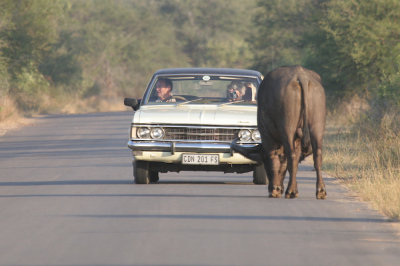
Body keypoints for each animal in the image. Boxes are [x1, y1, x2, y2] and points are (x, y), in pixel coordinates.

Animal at [233, 65, 326, 200]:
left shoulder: (267, 137)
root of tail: (301, 76)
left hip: (288, 128)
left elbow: (275, 159)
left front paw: (275, 189)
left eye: (264, 161)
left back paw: (290, 191)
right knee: (317, 155)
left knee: (291, 155)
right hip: (317, 126)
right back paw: (320, 191)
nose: (276, 186)